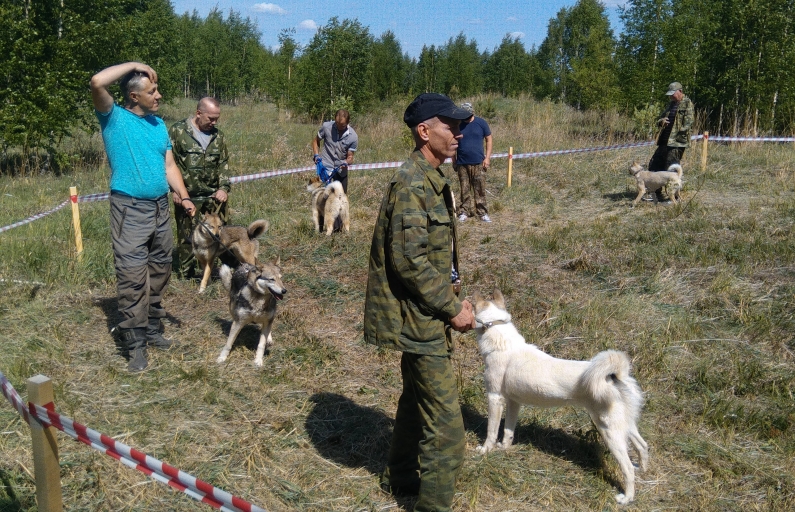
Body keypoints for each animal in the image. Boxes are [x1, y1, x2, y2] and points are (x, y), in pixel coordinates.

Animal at [472, 288, 648, 504]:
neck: (503, 342)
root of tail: (614, 376)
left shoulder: (494, 398)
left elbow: (491, 431)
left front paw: (485, 451)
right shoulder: (514, 402)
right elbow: (508, 431)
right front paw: (504, 448)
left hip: (609, 431)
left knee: (627, 468)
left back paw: (627, 497)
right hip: (625, 425)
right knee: (642, 446)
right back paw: (642, 469)